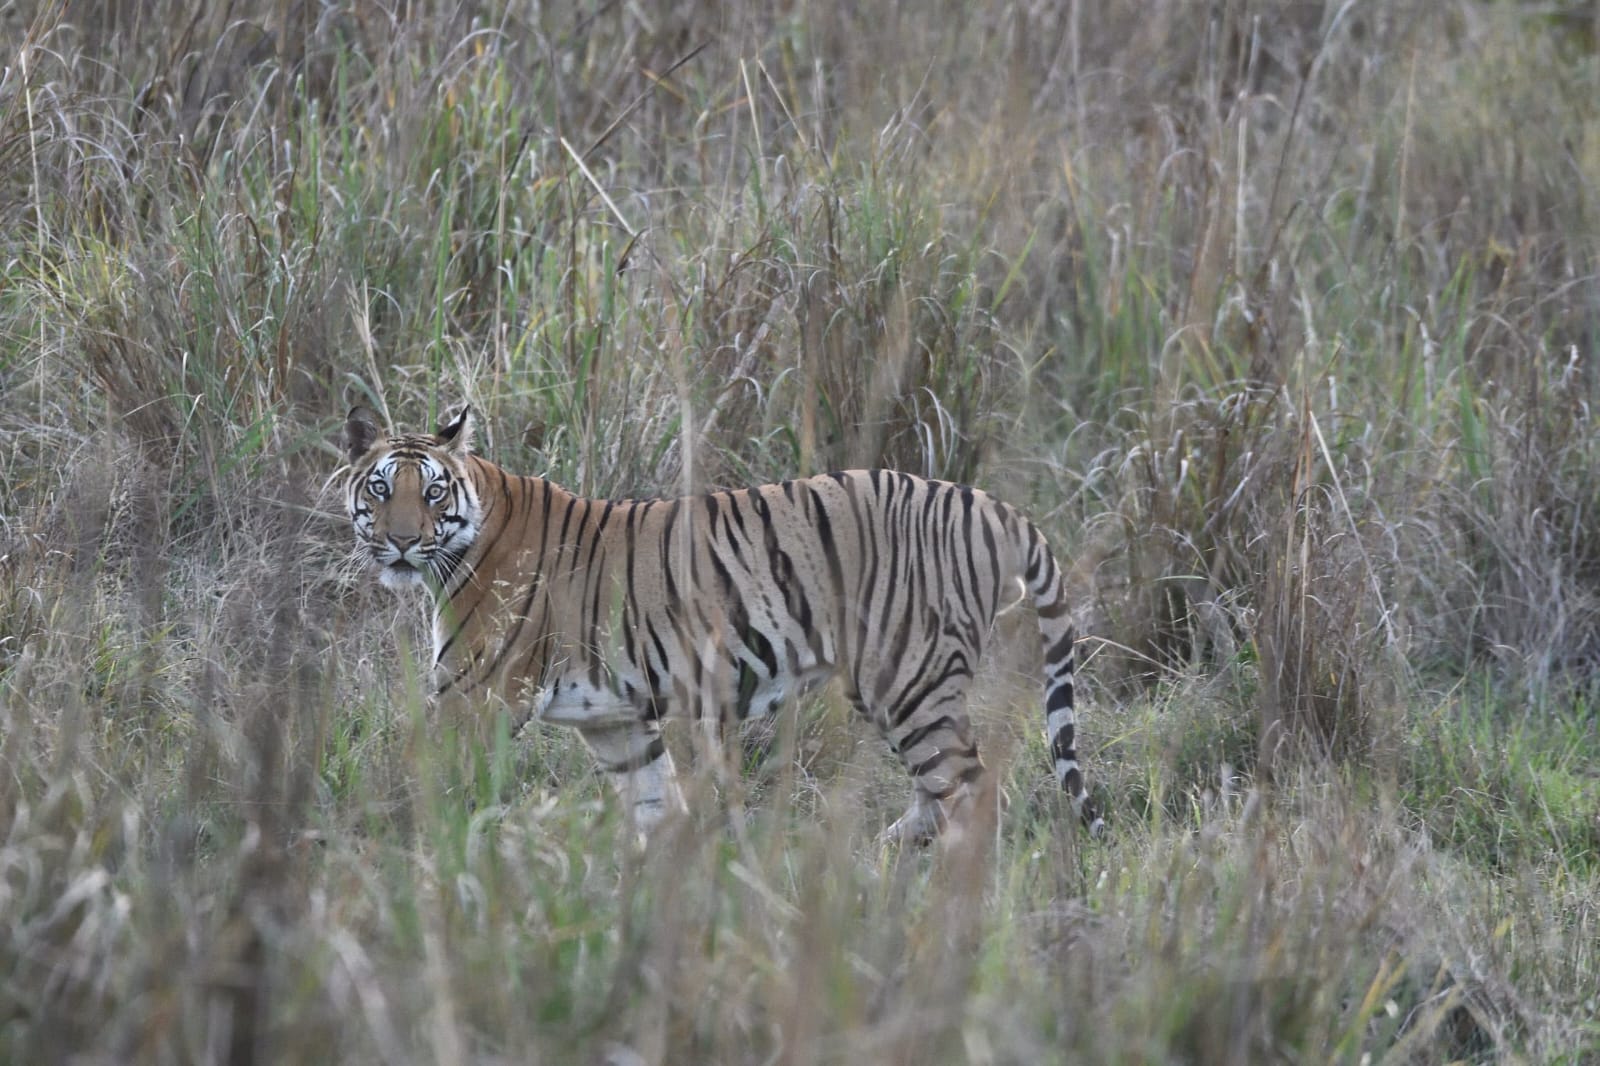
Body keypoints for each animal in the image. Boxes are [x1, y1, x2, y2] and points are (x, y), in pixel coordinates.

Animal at [342, 404, 1103, 842]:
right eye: (380, 489)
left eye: (431, 491)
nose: (403, 541)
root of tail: (991, 504)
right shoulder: (616, 720)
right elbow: (657, 807)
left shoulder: (476, 697)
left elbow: (429, 785)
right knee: (941, 791)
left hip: (910, 677)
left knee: (971, 790)